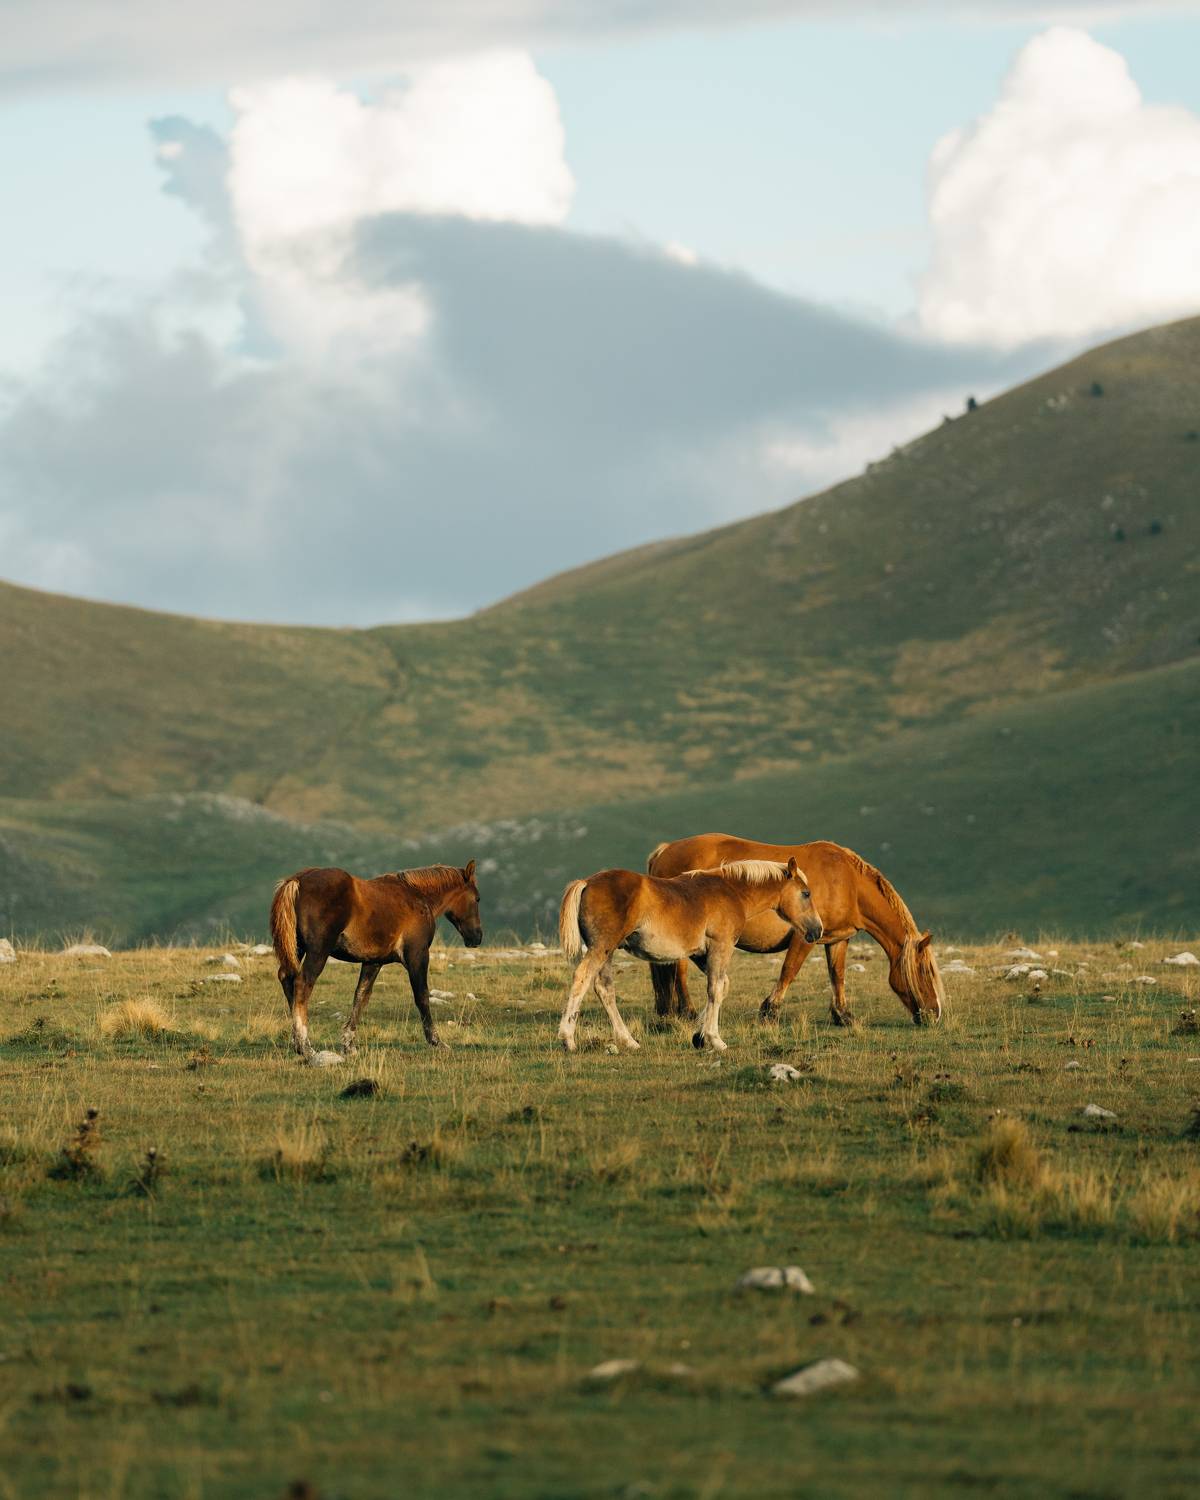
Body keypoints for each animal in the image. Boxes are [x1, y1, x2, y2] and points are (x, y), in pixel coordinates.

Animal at [269, 862, 482, 1058]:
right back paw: (305, 1046)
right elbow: (422, 997)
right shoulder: (417, 955)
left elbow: (361, 996)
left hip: (296, 948)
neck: (417, 896)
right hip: (318, 952)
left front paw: (349, 1045)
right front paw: (436, 1041)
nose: (477, 937)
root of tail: (297, 881)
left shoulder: (373, 961)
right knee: (302, 983)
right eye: (477, 899)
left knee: (287, 979)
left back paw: (296, 1042)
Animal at [556, 858, 822, 1054]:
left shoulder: (701, 954)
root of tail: (586, 882)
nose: (817, 930)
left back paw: (628, 1040)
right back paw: (568, 1039)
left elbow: (722, 986)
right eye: (806, 893)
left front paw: (699, 1035)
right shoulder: (721, 946)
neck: (732, 891)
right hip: (602, 947)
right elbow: (715, 989)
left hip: (607, 951)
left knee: (604, 989)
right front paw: (715, 1039)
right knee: (582, 978)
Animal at [646, 835, 944, 1026]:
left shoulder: (837, 940)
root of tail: (664, 850)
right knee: (679, 971)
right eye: (924, 972)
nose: (934, 1015)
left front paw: (843, 1015)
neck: (847, 882)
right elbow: (789, 970)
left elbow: (837, 976)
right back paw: (686, 1011)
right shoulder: (805, 937)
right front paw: (769, 1012)